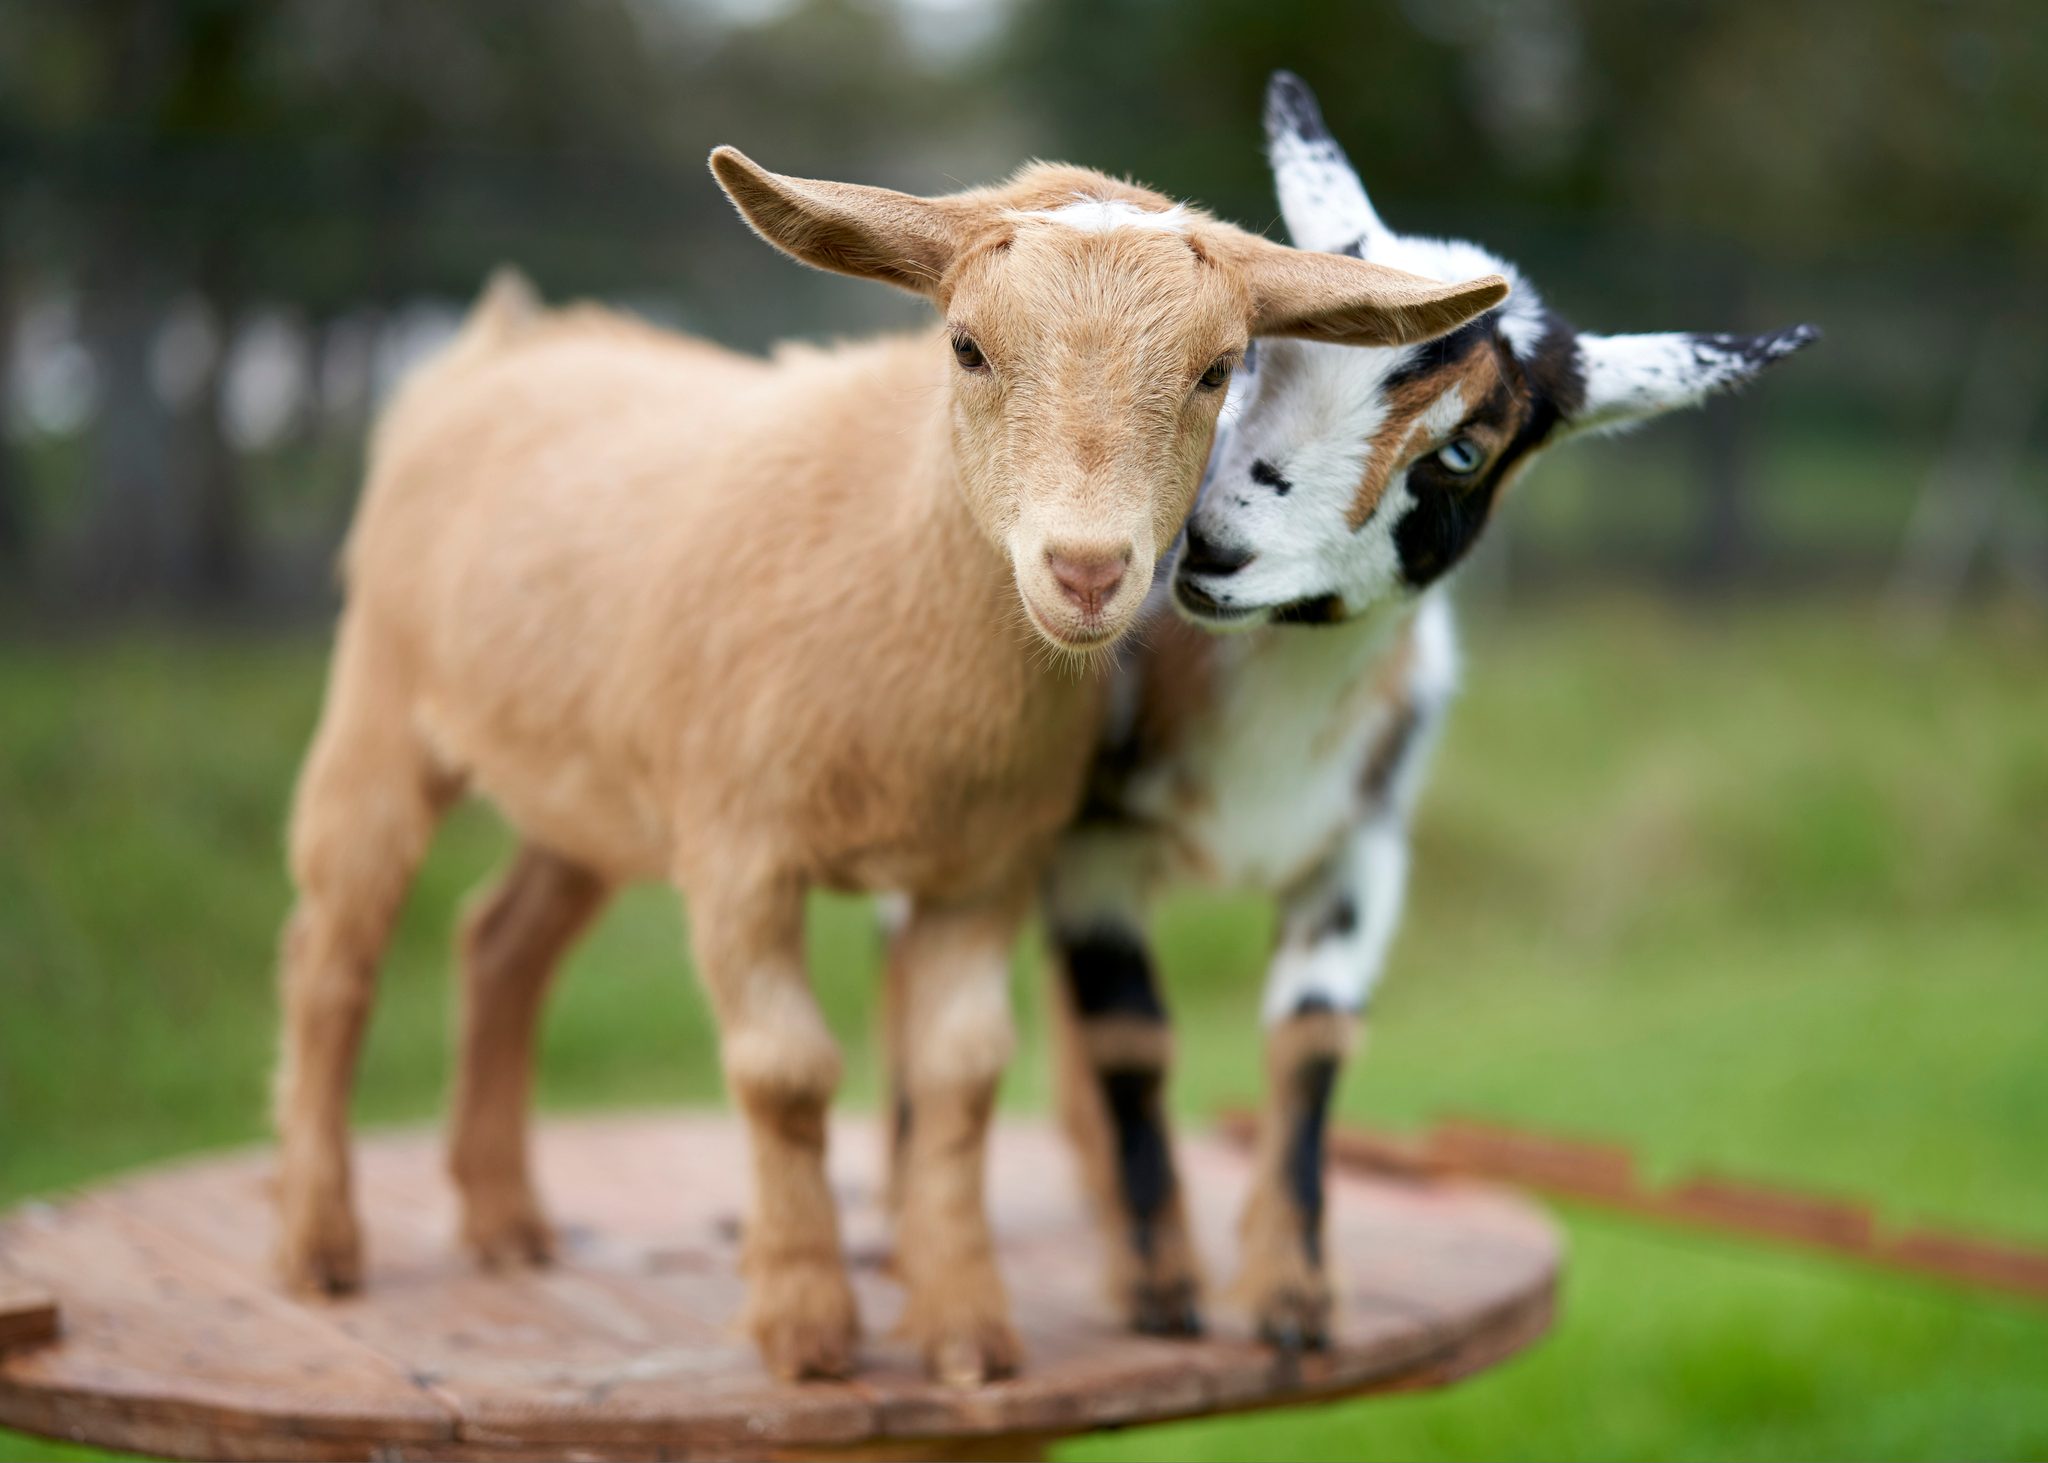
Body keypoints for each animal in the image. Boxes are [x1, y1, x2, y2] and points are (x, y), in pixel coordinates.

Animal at [270, 143, 1508, 1385]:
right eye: (964, 345)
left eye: (1216, 368)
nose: (1086, 570)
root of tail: (503, 343)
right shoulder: (737, 851)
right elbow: (785, 1069)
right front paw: (807, 1328)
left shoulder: (983, 869)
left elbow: (960, 1070)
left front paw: (966, 1330)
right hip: (379, 696)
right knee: (334, 952)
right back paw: (319, 1248)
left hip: (590, 786)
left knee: (500, 941)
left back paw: (505, 1220)